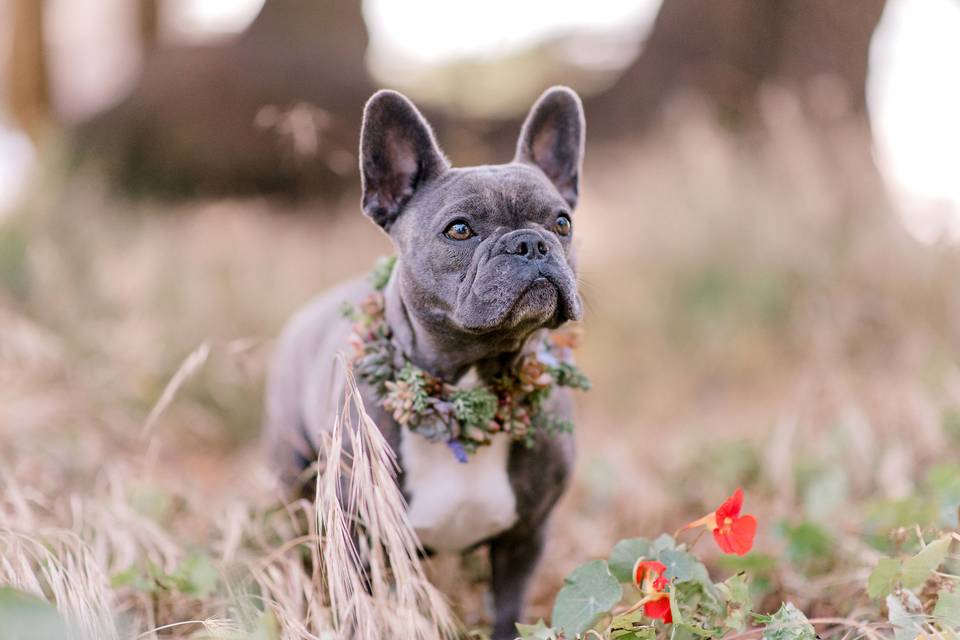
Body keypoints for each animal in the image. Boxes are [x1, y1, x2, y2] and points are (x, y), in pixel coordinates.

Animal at [262, 86, 584, 640]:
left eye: (561, 222)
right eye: (459, 230)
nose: (531, 242)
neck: (467, 390)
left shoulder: (526, 536)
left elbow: (508, 611)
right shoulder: (358, 541)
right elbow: (363, 613)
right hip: (292, 473)